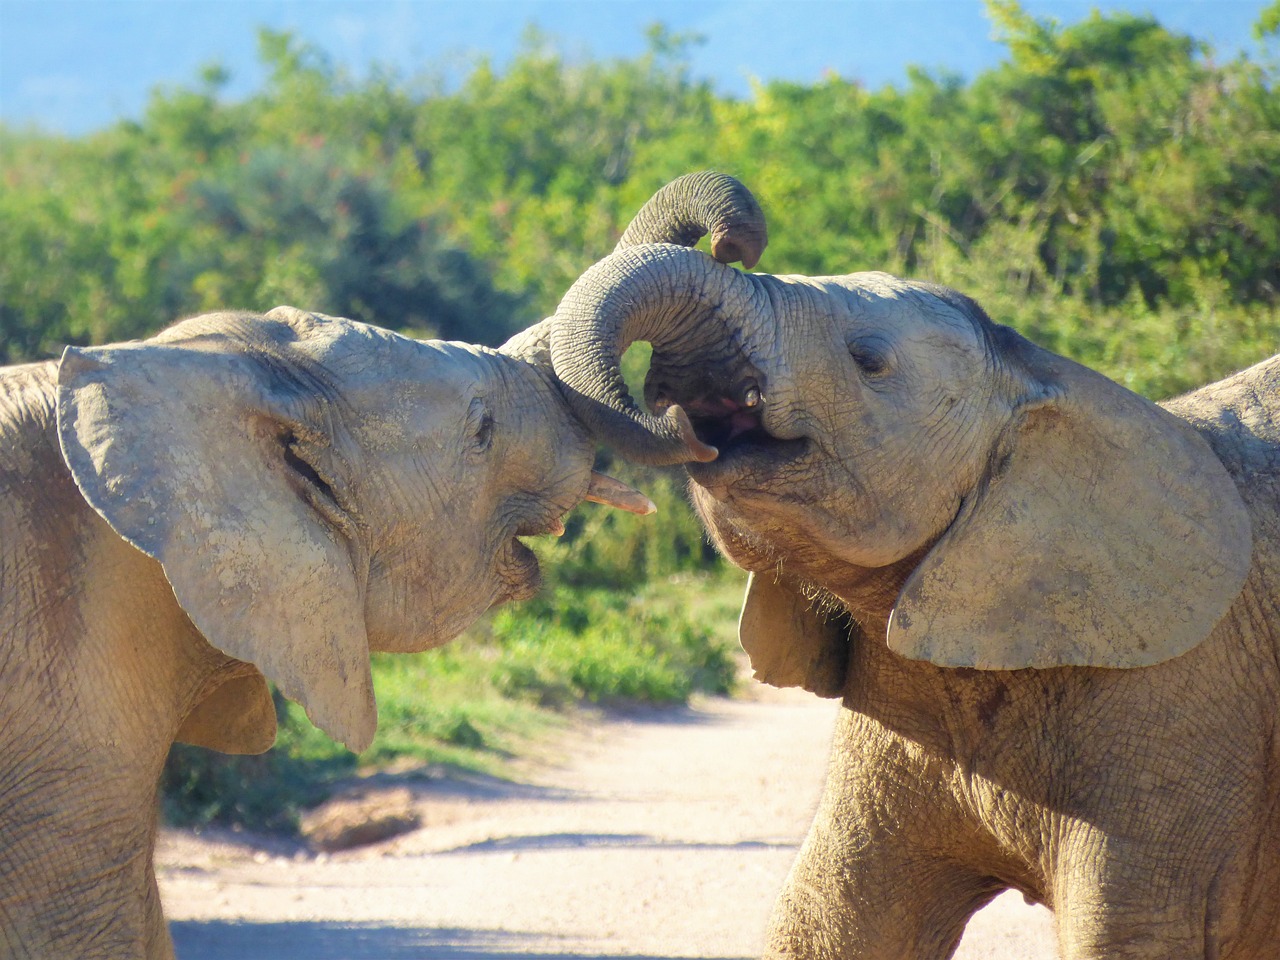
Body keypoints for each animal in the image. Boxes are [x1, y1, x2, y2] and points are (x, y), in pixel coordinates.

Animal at [547, 240, 1280, 960]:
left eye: (868, 359)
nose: (675, 409)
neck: (1047, 382)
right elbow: (831, 919)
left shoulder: (1183, 700)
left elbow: (1129, 934)